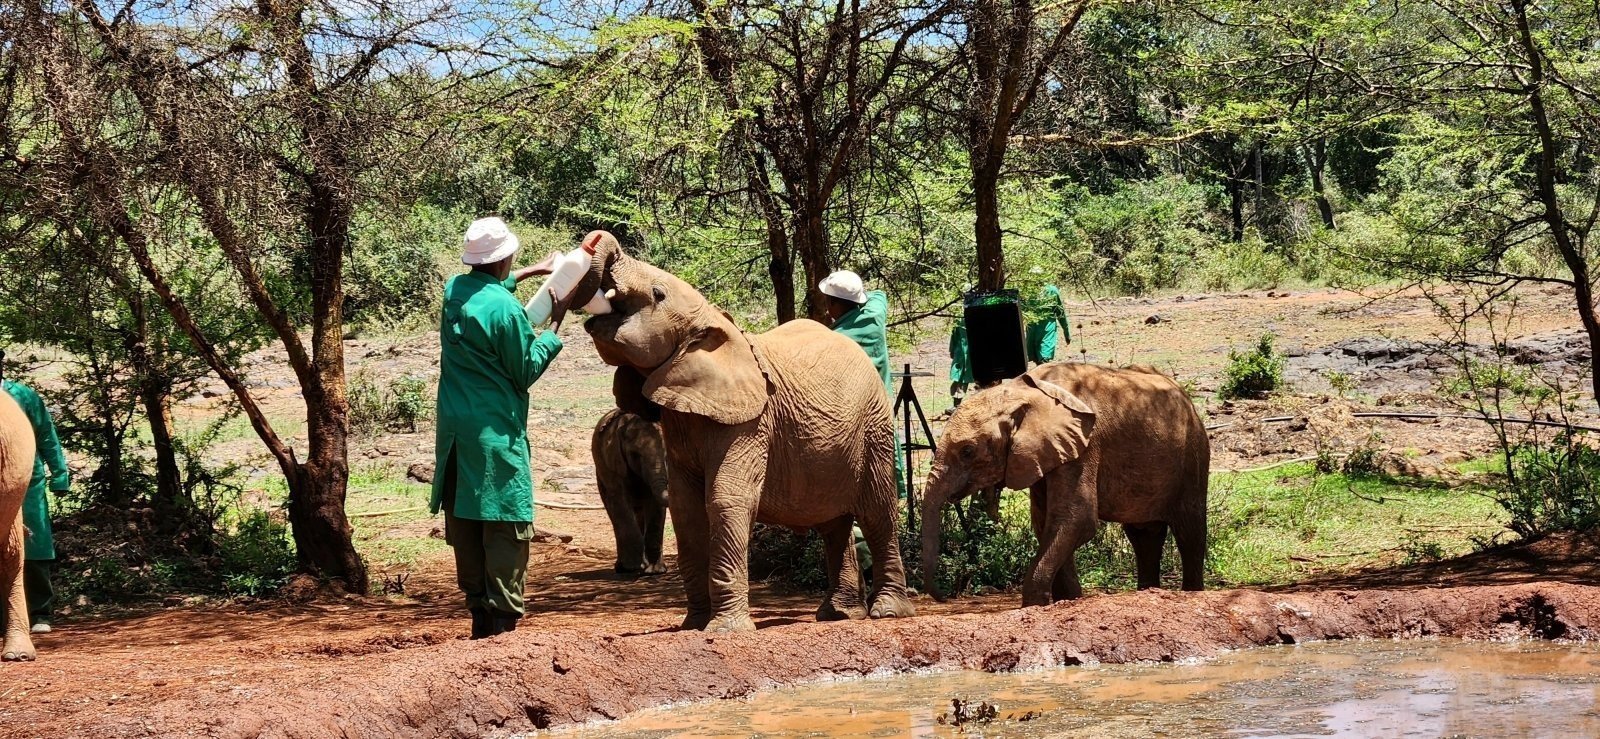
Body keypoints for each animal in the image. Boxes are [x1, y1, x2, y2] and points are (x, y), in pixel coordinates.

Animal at [592, 408, 670, 575]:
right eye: (635, 455)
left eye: (667, 455)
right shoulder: (612, 463)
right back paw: (623, 567)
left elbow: (655, 505)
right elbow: (620, 502)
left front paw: (655, 571)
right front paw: (632, 568)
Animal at [920, 363, 1209, 607]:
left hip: (1193, 453)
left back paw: (1191, 593)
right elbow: (1047, 522)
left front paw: (1035, 605)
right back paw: (1148, 592)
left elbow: (1076, 519)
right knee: (1144, 535)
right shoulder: (1041, 453)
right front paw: (1068, 601)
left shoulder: (1085, 446)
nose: (945, 595)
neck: (1022, 391)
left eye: (967, 451)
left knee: (1189, 532)